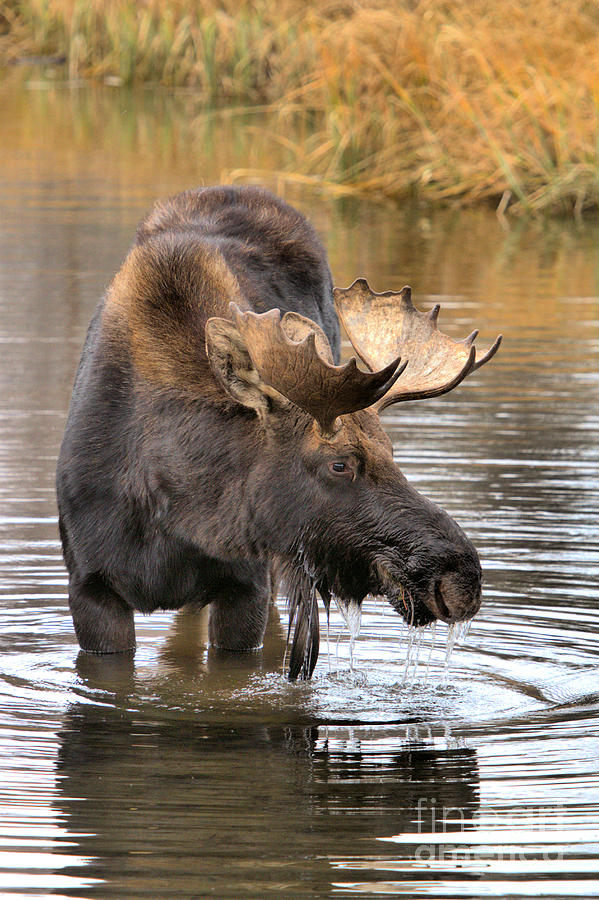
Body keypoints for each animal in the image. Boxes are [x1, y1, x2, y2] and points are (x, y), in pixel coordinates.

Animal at [57, 186, 502, 680]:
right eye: (339, 464)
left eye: (392, 451)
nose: (460, 579)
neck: (174, 511)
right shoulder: (91, 589)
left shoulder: (246, 585)